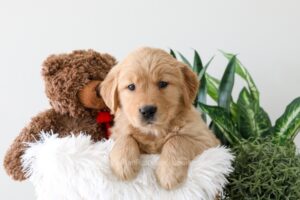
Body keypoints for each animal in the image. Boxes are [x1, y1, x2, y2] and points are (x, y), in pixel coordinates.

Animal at [99, 47, 219, 190]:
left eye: (163, 83)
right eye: (131, 86)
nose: (147, 110)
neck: (154, 131)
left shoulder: (207, 140)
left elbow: (177, 139)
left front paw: (169, 173)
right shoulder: (117, 133)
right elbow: (125, 137)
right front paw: (123, 163)